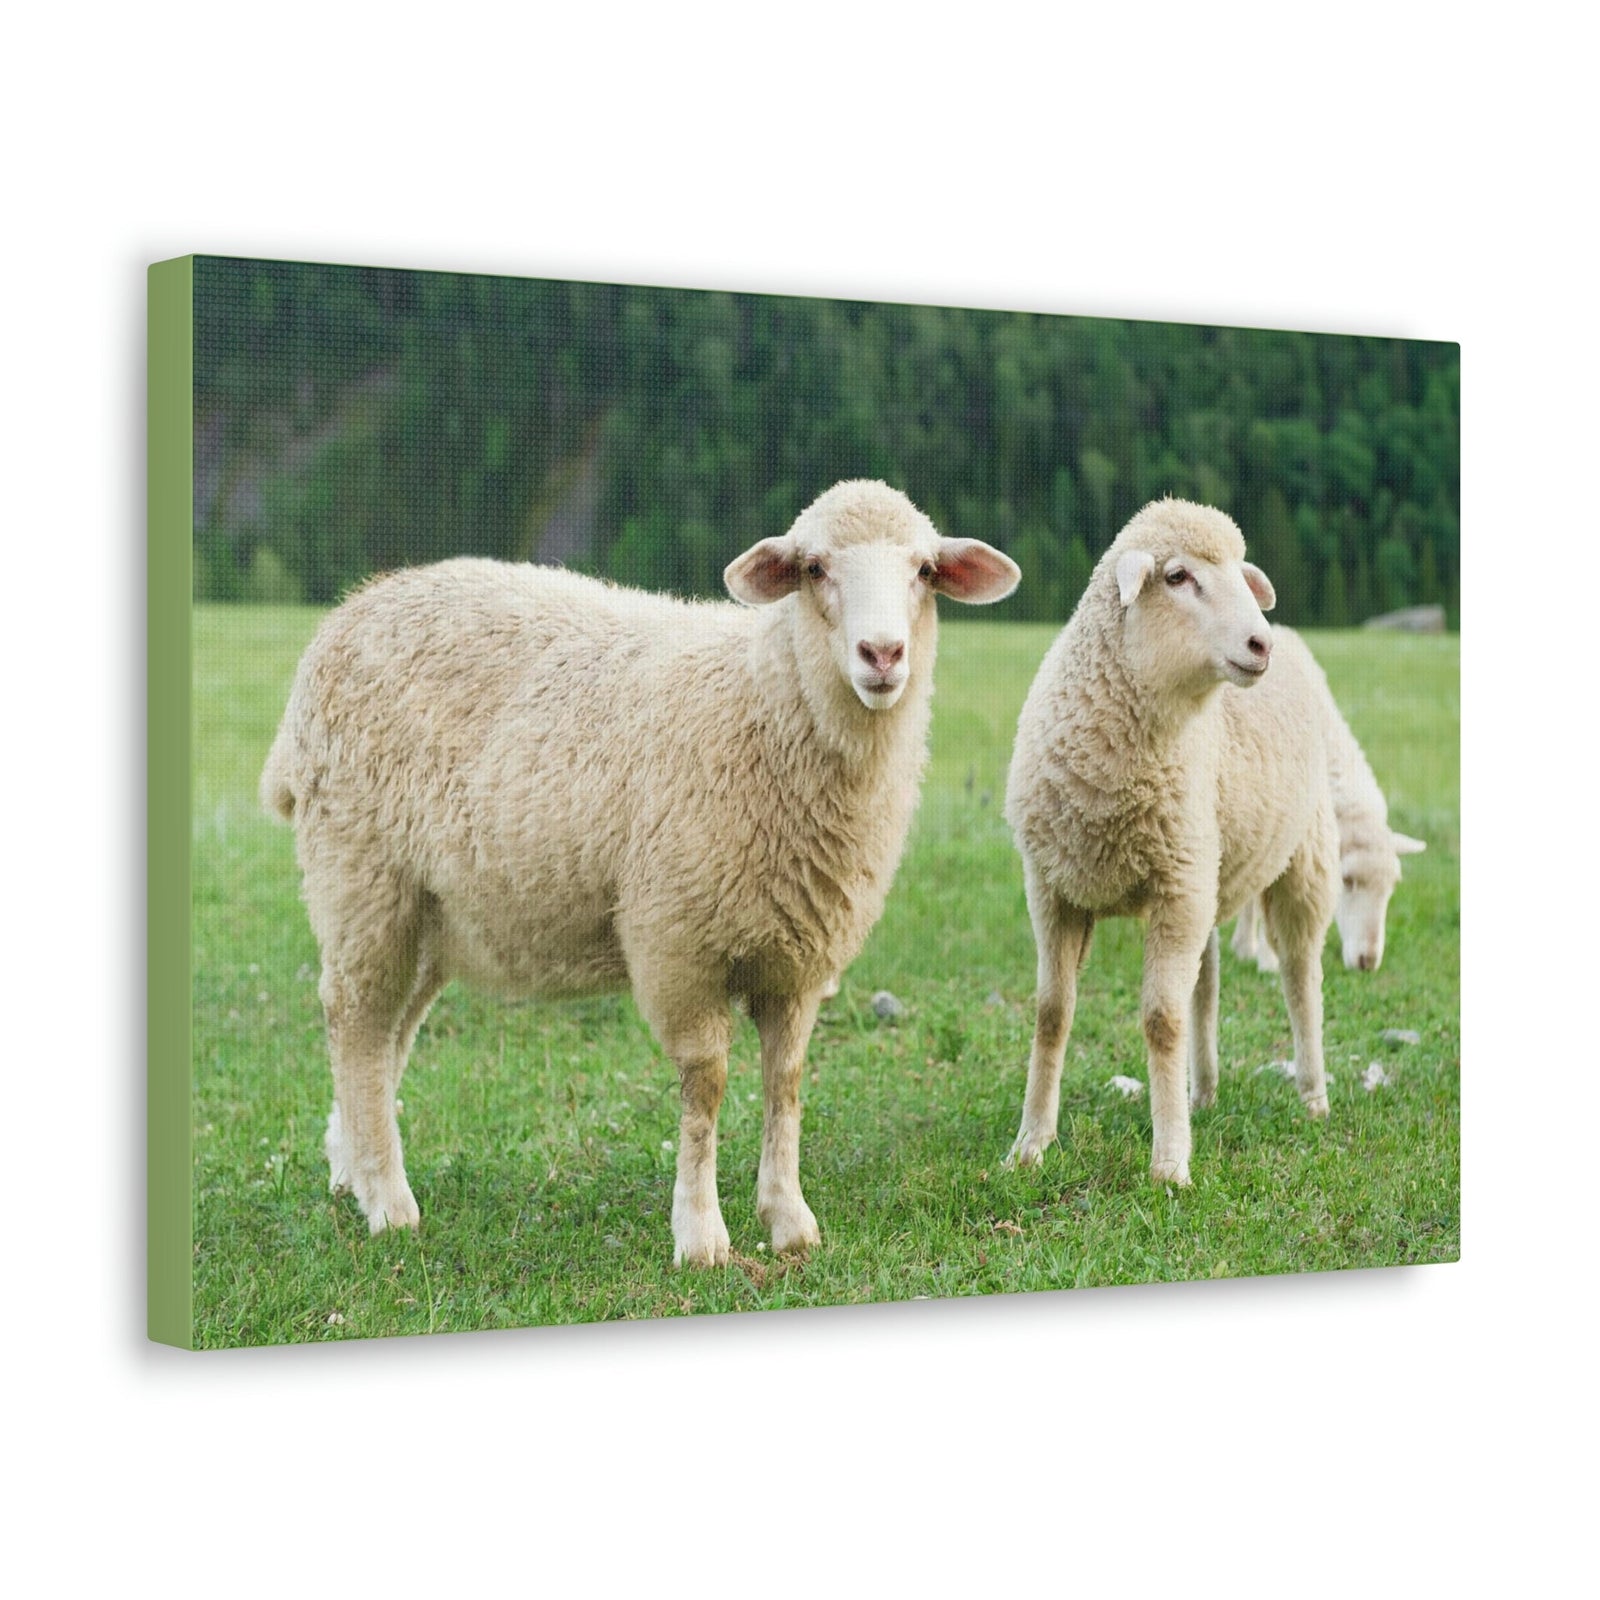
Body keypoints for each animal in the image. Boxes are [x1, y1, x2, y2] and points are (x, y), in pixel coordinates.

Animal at [260, 479, 1019, 1267]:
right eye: (814, 568)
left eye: (925, 571)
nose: (883, 653)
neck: (766, 705)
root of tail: (348, 613)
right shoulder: (677, 941)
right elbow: (706, 1085)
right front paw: (701, 1234)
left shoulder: (799, 958)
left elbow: (785, 1082)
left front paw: (788, 1218)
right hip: (361, 875)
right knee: (356, 1022)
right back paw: (388, 1202)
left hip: (431, 911)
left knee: (389, 1033)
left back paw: (352, 1169)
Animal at [1002, 498, 1339, 1186]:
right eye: (1178, 577)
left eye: (1241, 573)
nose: (1259, 643)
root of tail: (1295, 637)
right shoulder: (1052, 889)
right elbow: (1052, 1013)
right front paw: (1031, 1143)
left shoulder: (1174, 891)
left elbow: (1161, 1021)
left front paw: (1169, 1163)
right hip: (1205, 868)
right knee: (1205, 988)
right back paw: (1201, 1093)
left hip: (1299, 859)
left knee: (1301, 978)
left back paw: (1312, 1095)